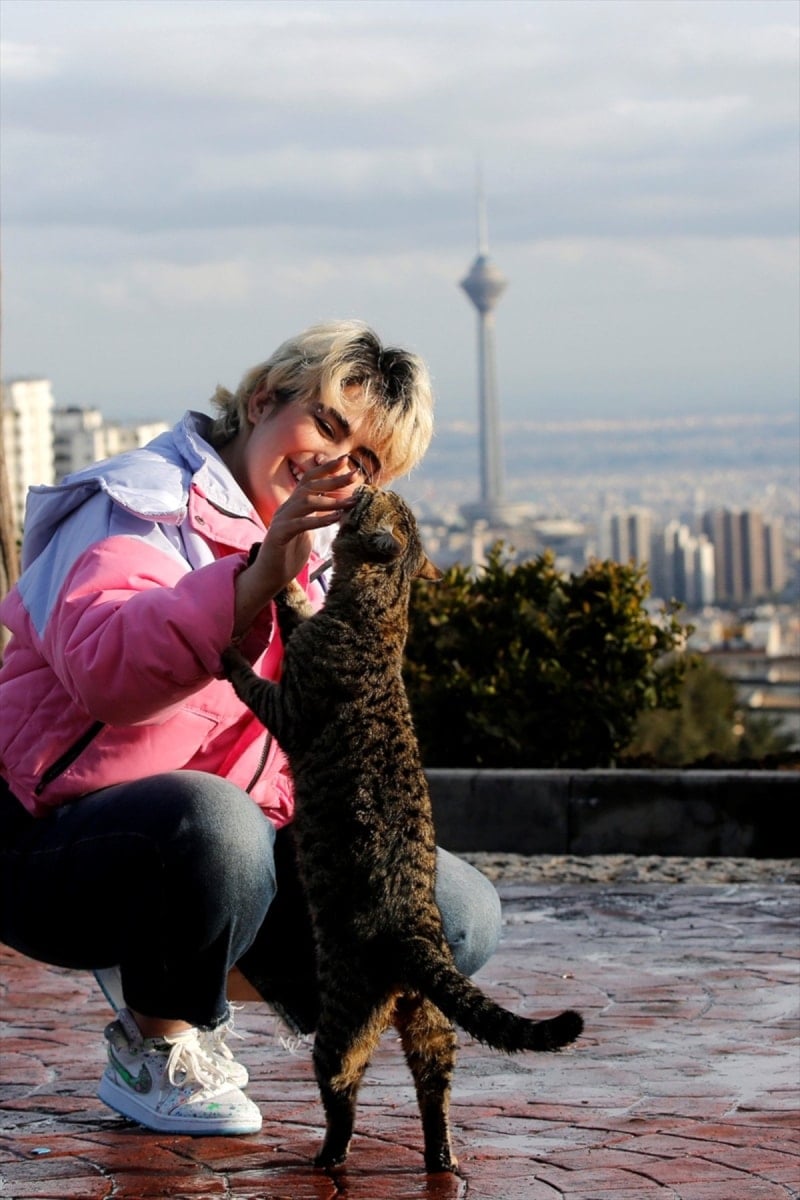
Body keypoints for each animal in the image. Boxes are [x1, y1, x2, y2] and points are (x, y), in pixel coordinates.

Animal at [222, 485, 583, 1173]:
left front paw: (233, 641)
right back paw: (441, 1157)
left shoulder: (291, 707)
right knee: (435, 1086)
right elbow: (297, 604)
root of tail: (415, 935)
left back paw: (329, 1157)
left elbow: (260, 668)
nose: (363, 482)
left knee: (342, 1087)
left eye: (378, 498)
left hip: (341, 1016)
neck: (378, 616)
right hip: (431, 1024)